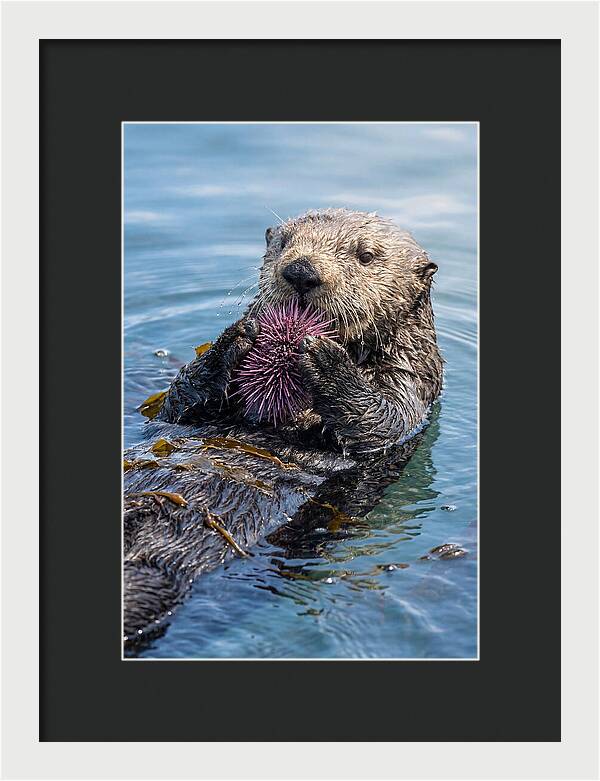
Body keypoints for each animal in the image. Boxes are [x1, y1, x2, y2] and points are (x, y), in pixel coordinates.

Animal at [123, 209, 443, 654]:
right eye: (283, 243)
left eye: (365, 256)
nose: (301, 271)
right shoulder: (180, 412)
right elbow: (177, 402)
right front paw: (235, 337)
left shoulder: (412, 385)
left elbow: (382, 422)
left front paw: (326, 360)